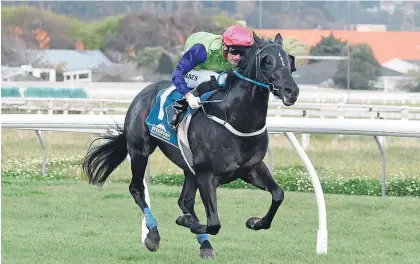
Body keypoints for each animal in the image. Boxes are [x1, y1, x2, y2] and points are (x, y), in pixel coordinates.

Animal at [82, 32, 298, 258]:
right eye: (267, 61)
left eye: (290, 60)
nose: (291, 91)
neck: (236, 119)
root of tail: (143, 92)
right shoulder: (206, 174)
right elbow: (214, 224)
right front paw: (185, 221)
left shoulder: (251, 169)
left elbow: (278, 194)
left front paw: (255, 222)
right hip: (140, 150)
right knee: (137, 188)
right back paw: (153, 235)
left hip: (188, 167)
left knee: (184, 201)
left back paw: (205, 244)